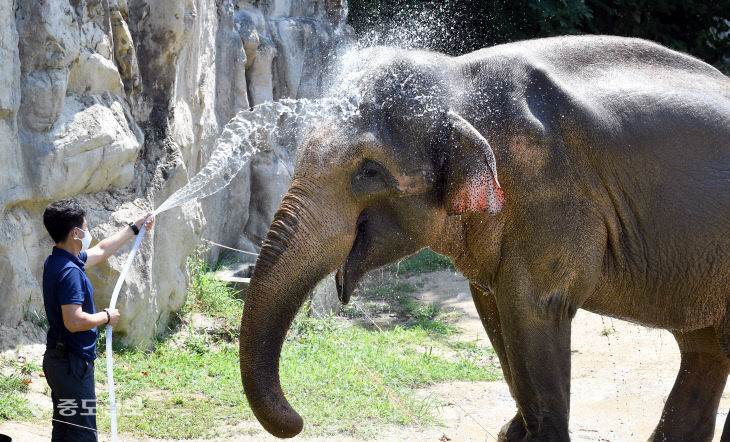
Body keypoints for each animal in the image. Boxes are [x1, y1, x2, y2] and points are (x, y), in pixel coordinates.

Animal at [236, 35, 724, 442]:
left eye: (368, 172)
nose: (298, 421)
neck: (459, 80)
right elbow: (493, 308)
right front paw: (513, 434)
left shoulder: (554, 196)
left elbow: (537, 306)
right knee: (705, 347)